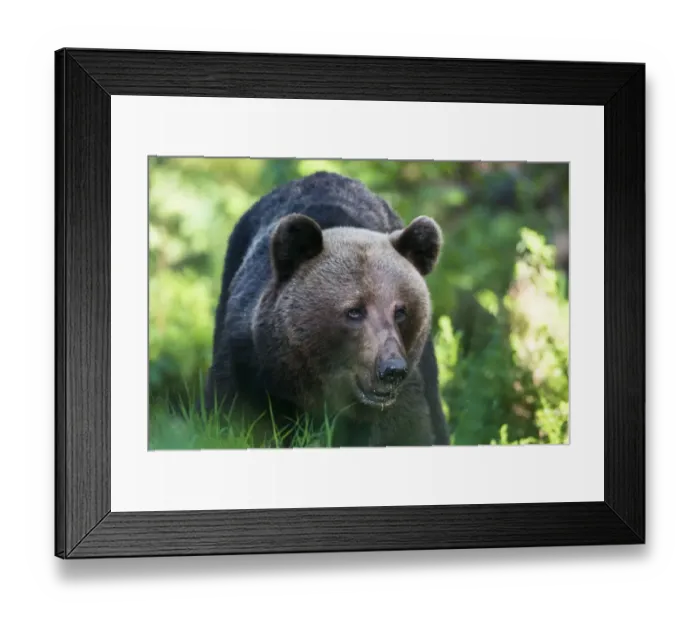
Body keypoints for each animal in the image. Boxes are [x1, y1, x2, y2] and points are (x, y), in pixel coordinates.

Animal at [203, 171, 450, 447]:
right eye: (354, 310)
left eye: (401, 311)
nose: (391, 369)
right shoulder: (249, 365)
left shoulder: (405, 393)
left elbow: (409, 429)